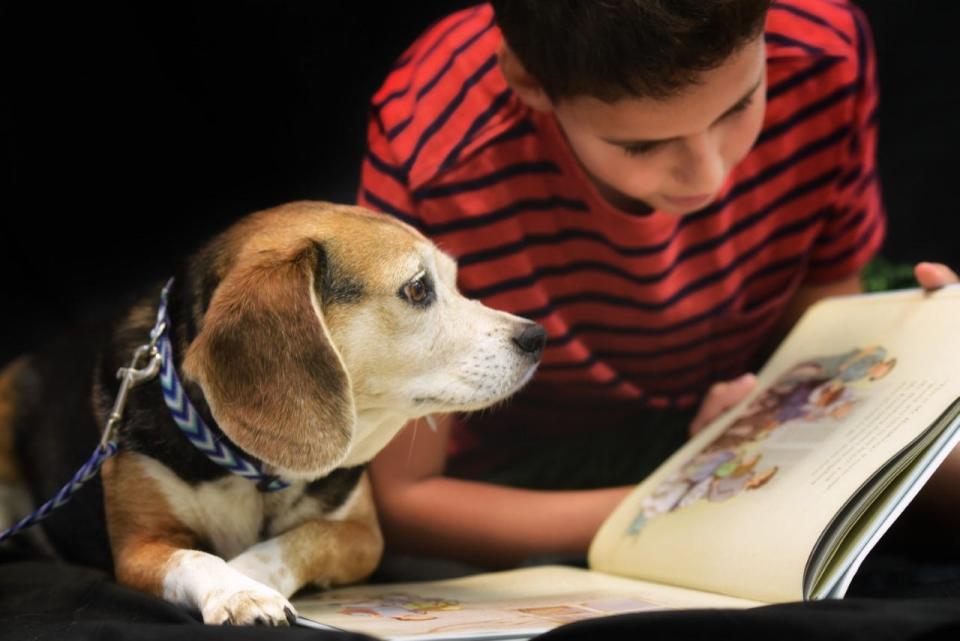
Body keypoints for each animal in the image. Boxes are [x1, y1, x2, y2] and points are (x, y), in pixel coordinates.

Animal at [0, 201, 548, 624]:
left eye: (453, 282)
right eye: (417, 288)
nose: (537, 336)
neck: (252, 467)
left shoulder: (361, 535)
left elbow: (297, 541)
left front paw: (247, 574)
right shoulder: (139, 547)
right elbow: (196, 556)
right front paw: (237, 589)